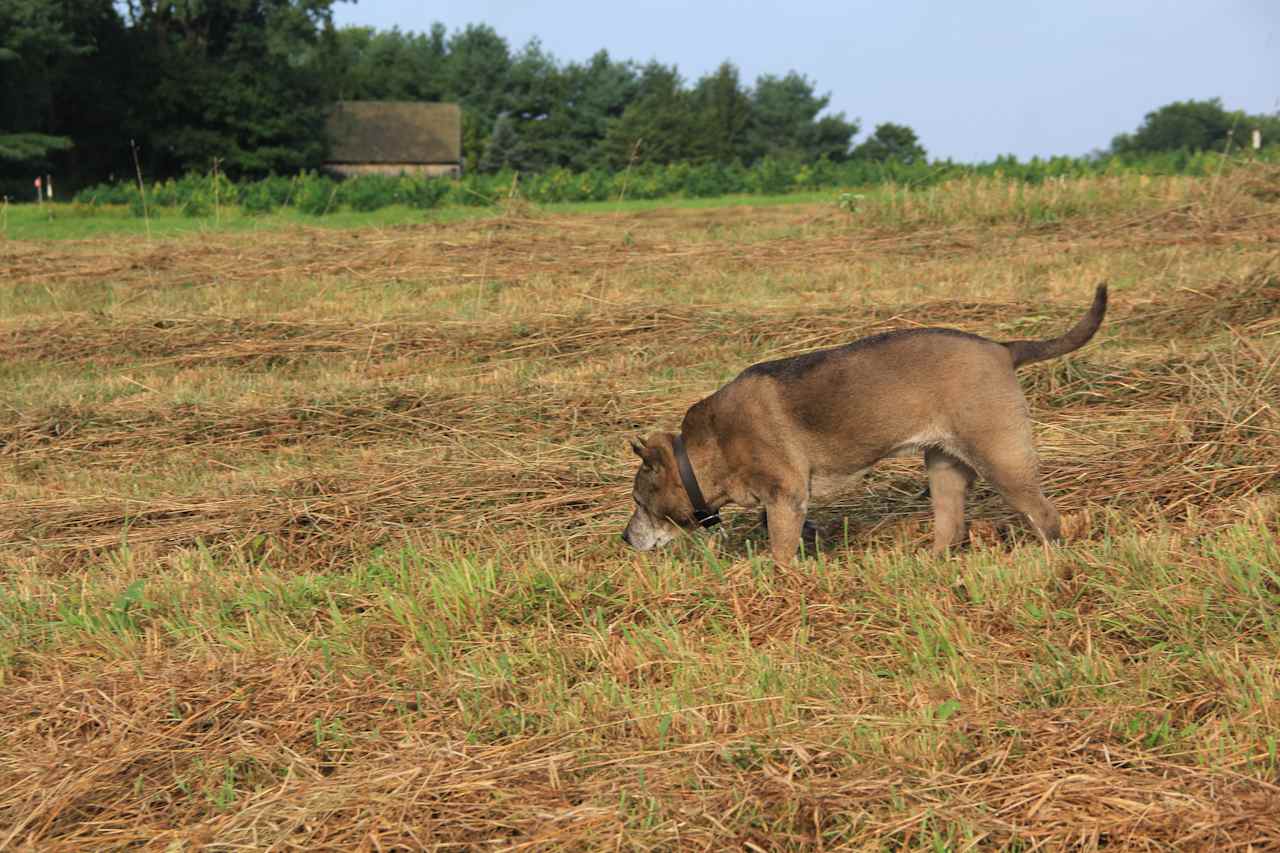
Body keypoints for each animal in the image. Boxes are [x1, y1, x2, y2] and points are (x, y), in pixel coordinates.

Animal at [624, 285, 1105, 563]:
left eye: (639, 501)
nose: (626, 539)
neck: (706, 449)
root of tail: (1003, 348)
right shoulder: (784, 503)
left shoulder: (785, 496)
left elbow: (780, 552)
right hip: (944, 468)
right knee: (950, 529)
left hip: (1002, 460)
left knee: (1046, 517)